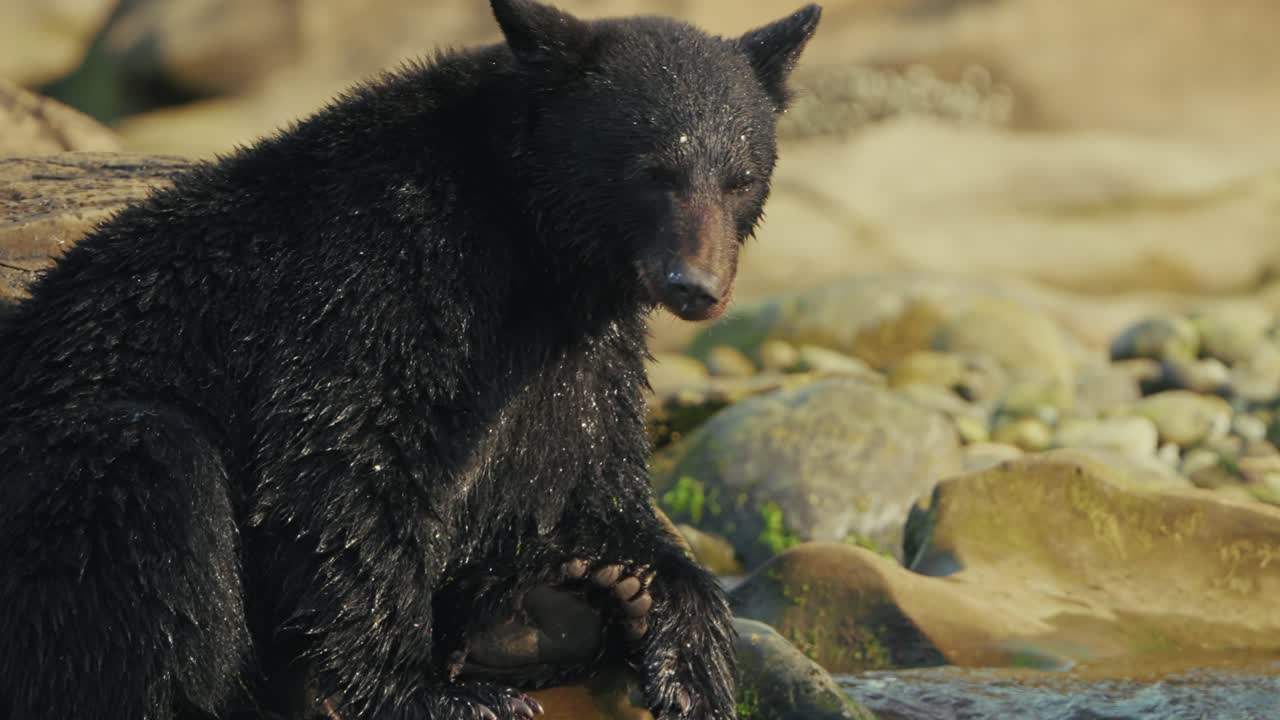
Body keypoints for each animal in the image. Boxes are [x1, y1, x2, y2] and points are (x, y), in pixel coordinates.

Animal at [0, 1, 821, 719]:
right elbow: (343, 454)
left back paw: (542, 616)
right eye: (652, 171)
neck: (527, 239)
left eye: (741, 178)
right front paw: (423, 687)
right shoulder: (380, 264)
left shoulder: (577, 356)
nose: (697, 287)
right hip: (61, 471)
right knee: (157, 485)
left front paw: (682, 638)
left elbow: (587, 481)